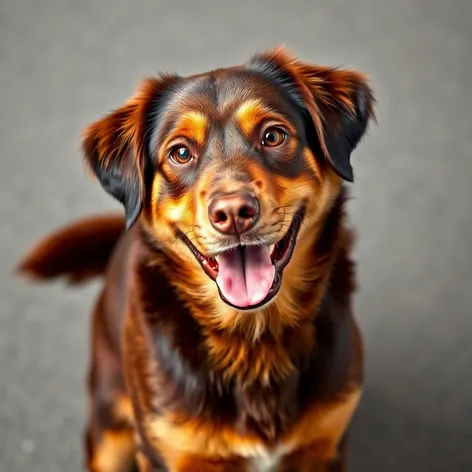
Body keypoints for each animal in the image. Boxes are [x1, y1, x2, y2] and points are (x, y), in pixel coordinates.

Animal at [15, 48, 376, 472]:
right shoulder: (164, 451)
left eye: (273, 135)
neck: (253, 339)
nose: (233, 212)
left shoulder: (327, 445)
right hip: (109, 433)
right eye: (181, 152)